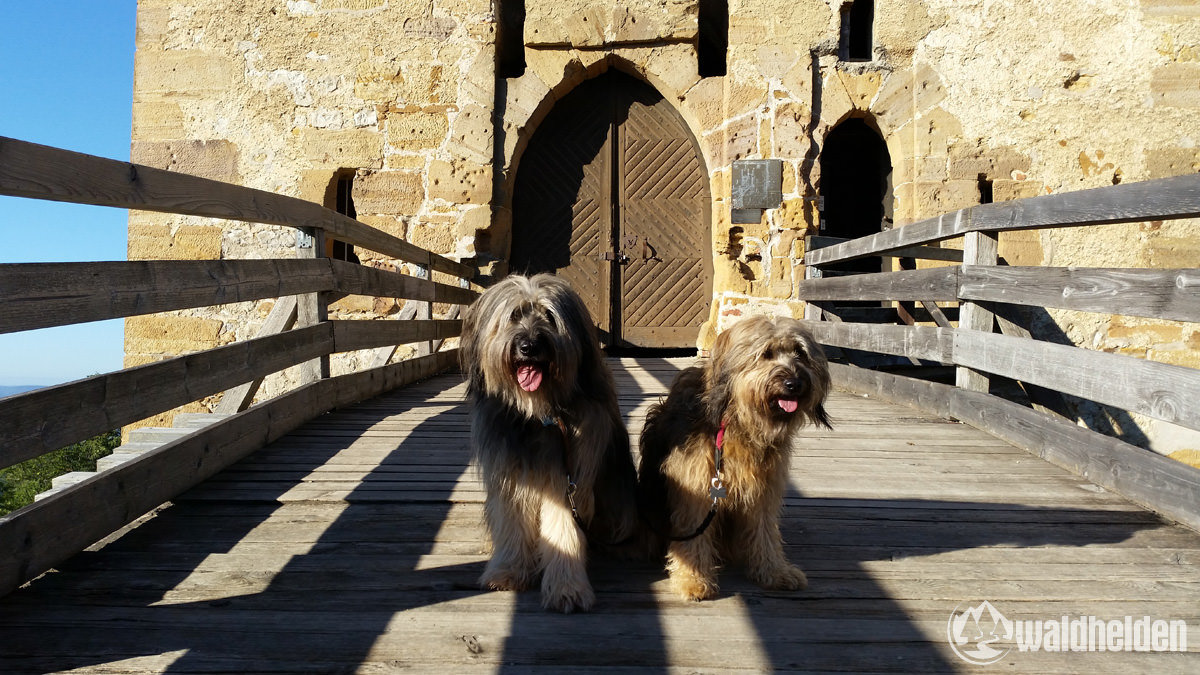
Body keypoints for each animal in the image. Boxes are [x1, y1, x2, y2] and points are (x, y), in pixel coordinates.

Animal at [458, 271, 638, 610]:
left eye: (549, 317)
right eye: (514, 315)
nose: (529, 346)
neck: (539, 415)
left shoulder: (568, 478)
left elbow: (562, 529)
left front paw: (567, 588)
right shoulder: (510, 475)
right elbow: (511, 521)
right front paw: (508, 571)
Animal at [643, 312, 830, 600]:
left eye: (800, 353)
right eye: (766, 354)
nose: (794, 383)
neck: (740, 423)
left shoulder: (763, 488)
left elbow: (765, 531)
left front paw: (775, 571)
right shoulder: (696, 487)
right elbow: (693, 533)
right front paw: (693, 579)